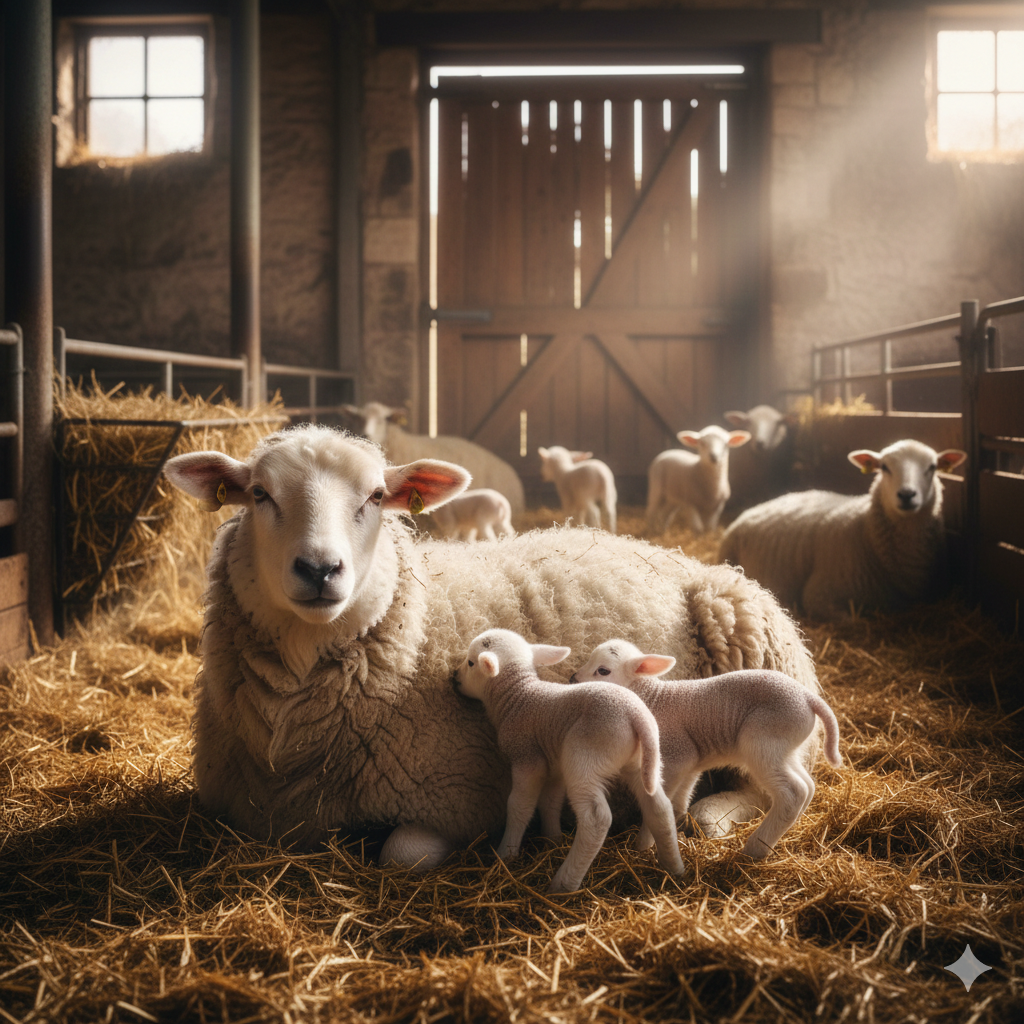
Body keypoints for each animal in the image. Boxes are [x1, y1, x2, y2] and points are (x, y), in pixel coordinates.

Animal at [453, 628, 687, 892]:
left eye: (471, 663)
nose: (454, 677)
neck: (518, 697)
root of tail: (637, 716)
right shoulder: (554, 765)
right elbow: (550, 802)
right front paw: (553, 839)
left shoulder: (527, 757)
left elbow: (519, 805)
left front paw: (506, 854)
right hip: (641, 762)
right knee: (660, 807)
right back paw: (673, 867)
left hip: (585, 757)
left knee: (596, 819)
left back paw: (563, 884)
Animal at [572, 639, 842, 858]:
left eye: (603, 670)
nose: (573, 679)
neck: (652, 699)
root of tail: (808, 698)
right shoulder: (690, 764)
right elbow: (678, 804)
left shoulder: (675, 757)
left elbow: (658, 806)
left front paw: (643, 845)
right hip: (785, 747)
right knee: (807, 785)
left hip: (763, 742)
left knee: (793, 793)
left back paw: (755, 848)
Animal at [718, 439, 968, 620]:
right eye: (884, 467)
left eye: (932, 467)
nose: (907, 495)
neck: (865, 530)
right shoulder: (819, 596)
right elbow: (857, 621)